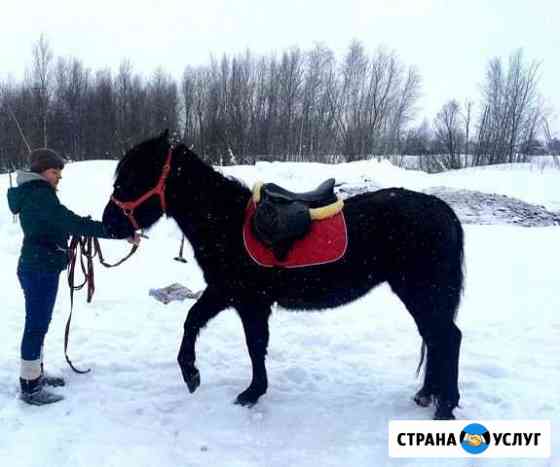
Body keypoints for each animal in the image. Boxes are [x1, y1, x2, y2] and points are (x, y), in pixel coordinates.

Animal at [101, 132, 464, 420]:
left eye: (131, 179)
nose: (109, 224)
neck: (225, 220)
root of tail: (444, 211)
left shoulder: (246, 300)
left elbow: (251, 343)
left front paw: (246, 391)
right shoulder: (225, 292)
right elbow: (196, 322)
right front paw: (195, 375)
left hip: (422, 292)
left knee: (447, 338)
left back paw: (445, 407)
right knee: (435, 337)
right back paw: (427, 396)